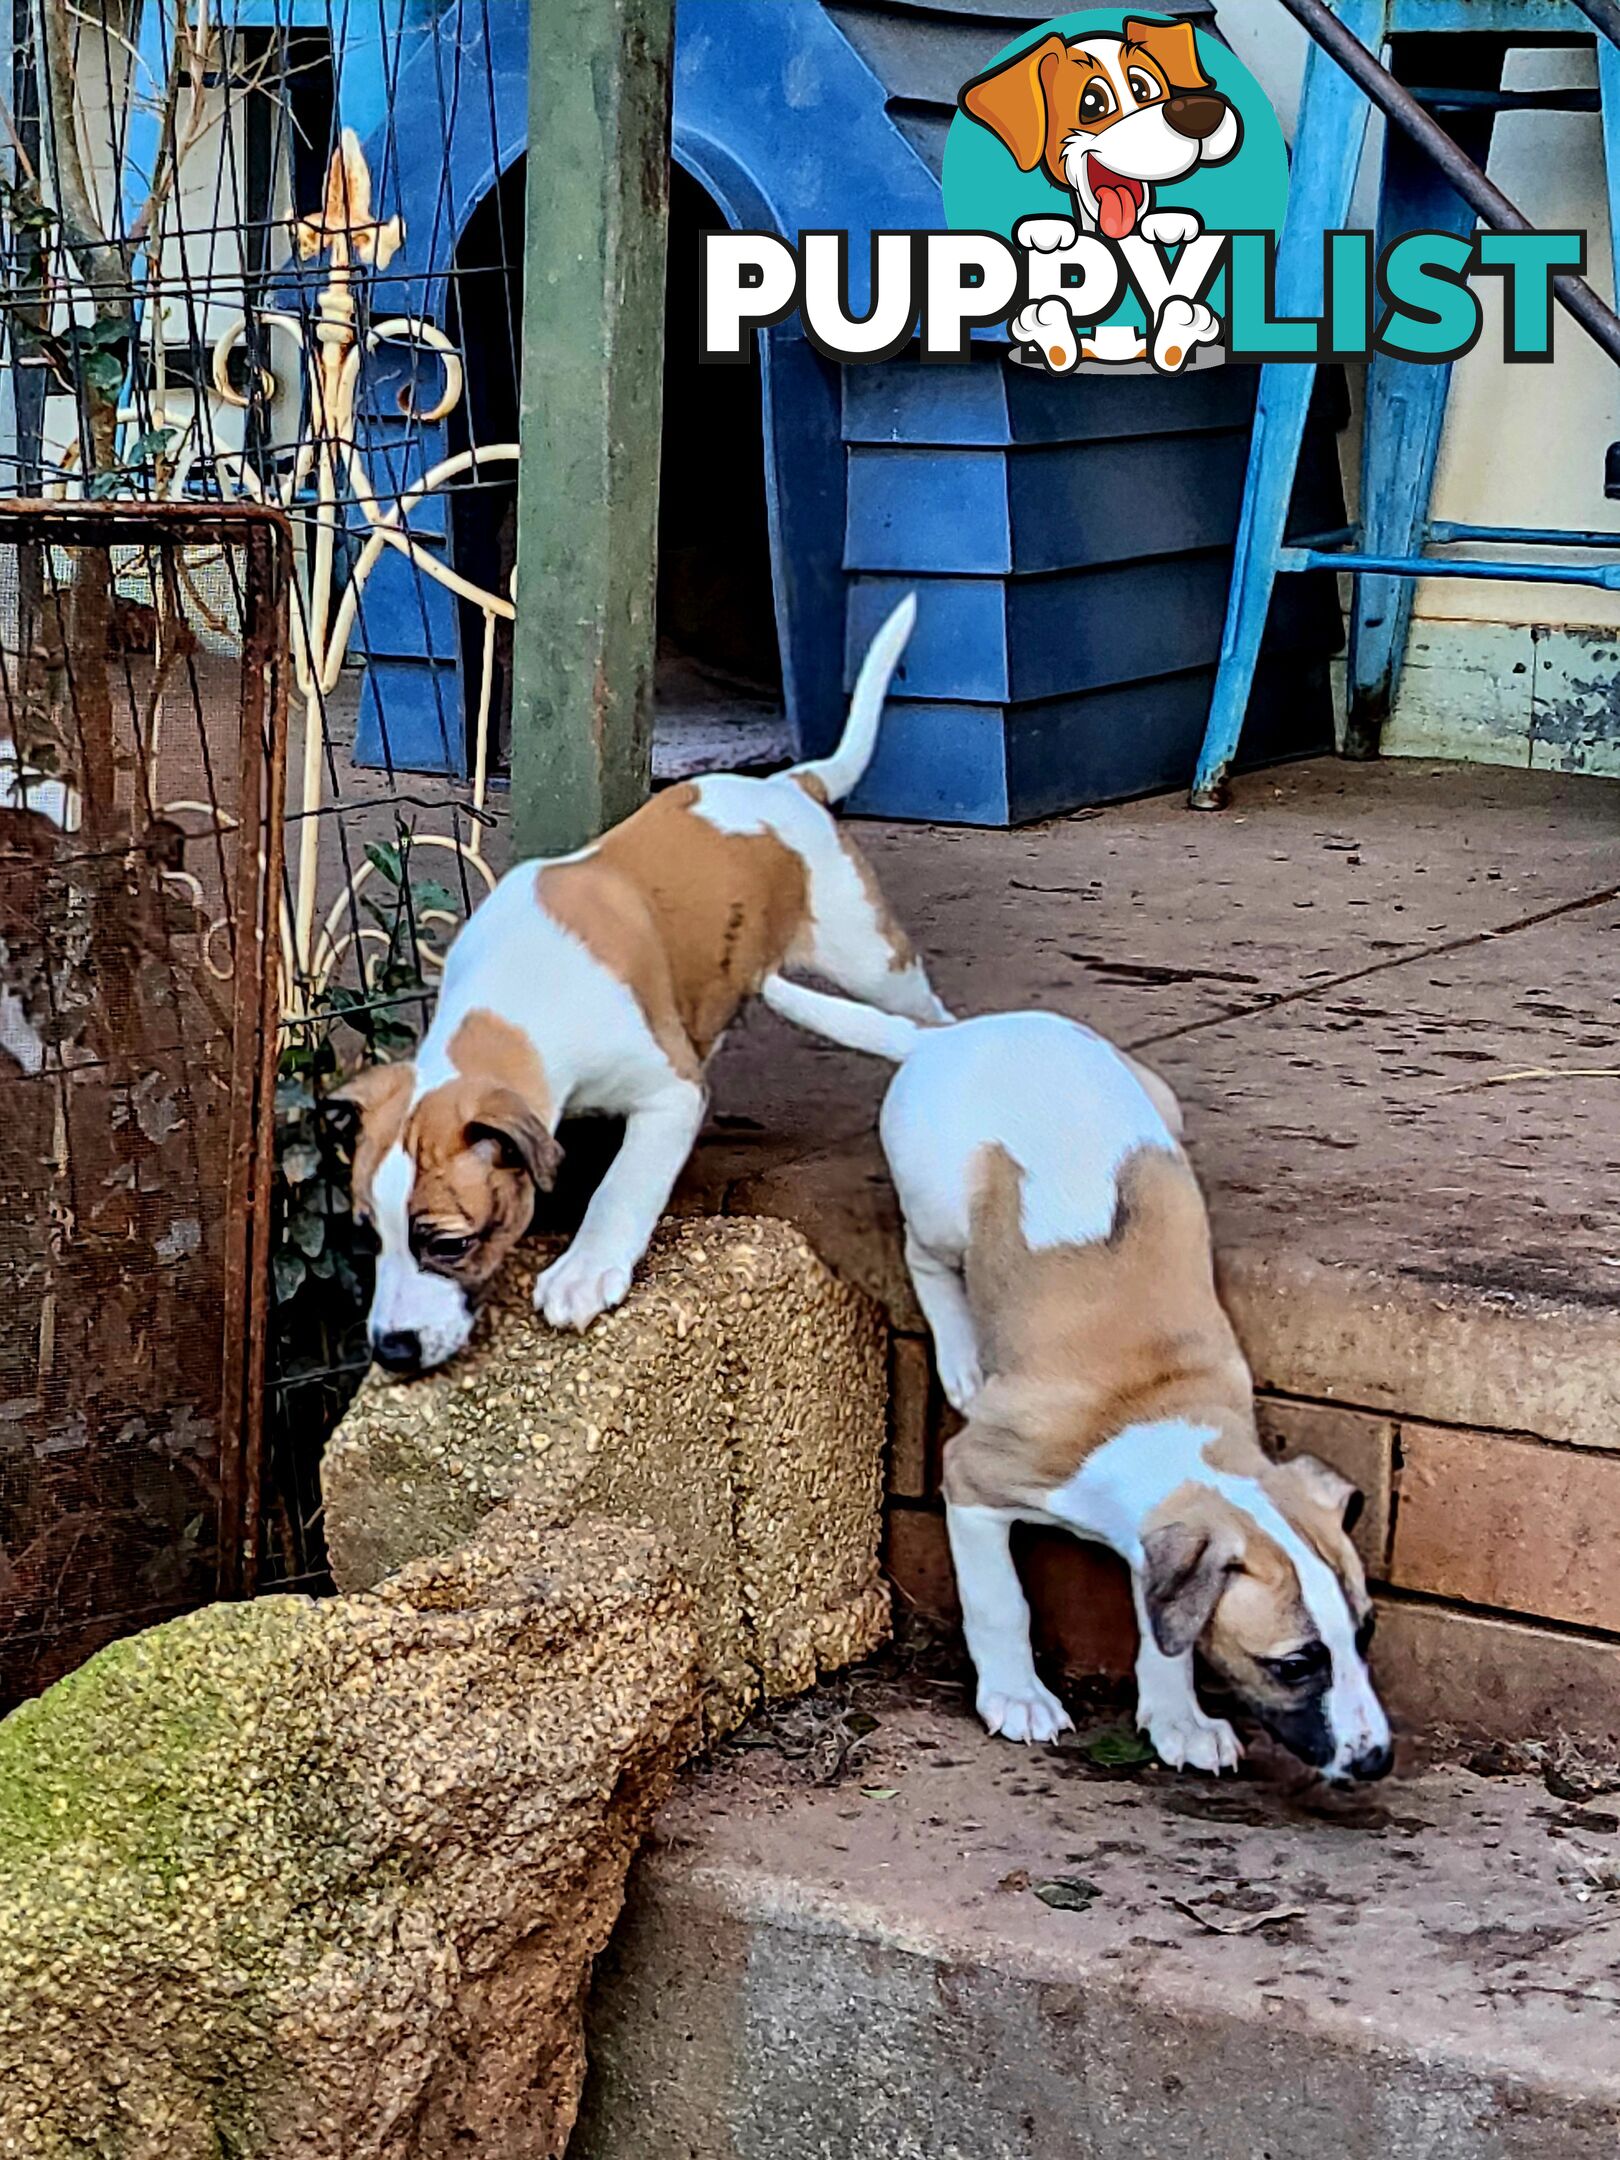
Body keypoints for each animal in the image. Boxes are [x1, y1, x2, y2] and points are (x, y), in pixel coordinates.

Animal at [343, 596, 950, 1365]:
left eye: (449, 1243)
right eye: (369, 1234)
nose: (391, 1350)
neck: (514, 997)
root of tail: (790, 785)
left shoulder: (670, 1093)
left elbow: (622, 1185)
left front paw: (584, 1270)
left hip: (871, 957)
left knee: (926, 1016)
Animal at [760, 984, 1399, 1788]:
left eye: (1366, 1633)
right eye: (1294, 1664)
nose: (1376, 1759)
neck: (1154, 1414)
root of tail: (947, 1036)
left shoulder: (1156, 1548)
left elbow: (1163, 1634)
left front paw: (1180, 1719)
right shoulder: (973, 1481)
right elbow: (1000, 1602)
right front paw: (1016, 1695)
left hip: (1159, 1102)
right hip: (937, 1203)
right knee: (923, 1254)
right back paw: (963, 1356)